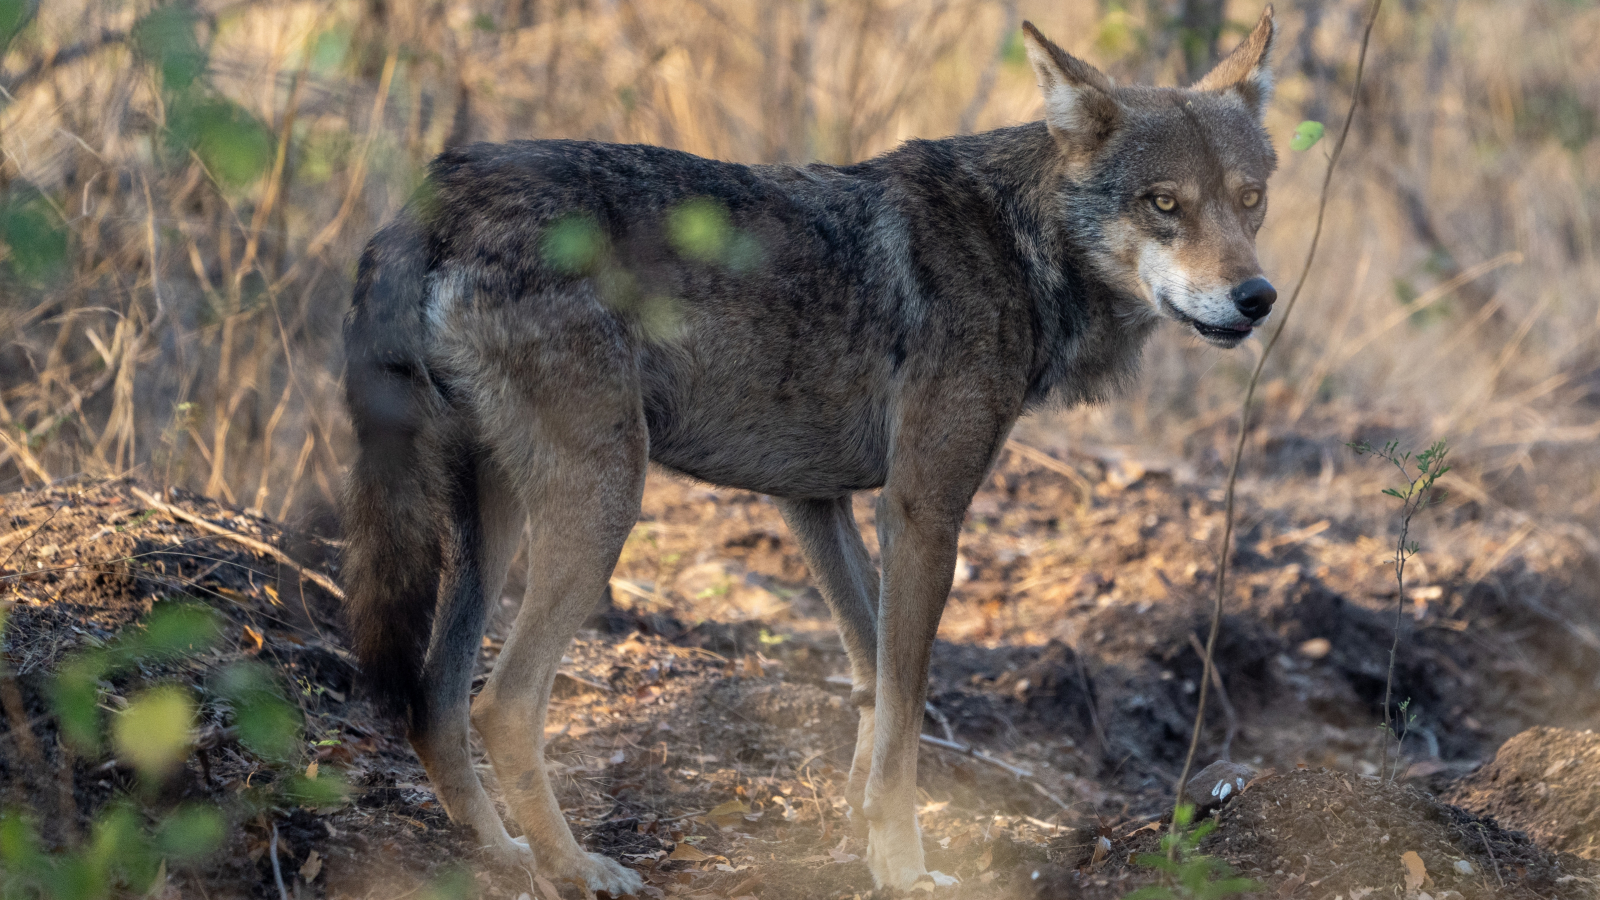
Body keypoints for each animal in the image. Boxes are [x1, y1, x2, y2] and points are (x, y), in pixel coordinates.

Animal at [344, 10, 1280, 890]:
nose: (1258, 296)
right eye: (1165, 204)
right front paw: (902, 865)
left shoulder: (813, 499)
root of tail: (437, 195)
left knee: (434, 701)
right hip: (606, 499)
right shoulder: (924, 510)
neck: (1019, 243)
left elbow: (873, 681)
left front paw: (854, 835)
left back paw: (503, 855)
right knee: (500, 705)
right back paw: (576, 869)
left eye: (1249, 199)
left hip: (496, 520)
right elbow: (906, 705)